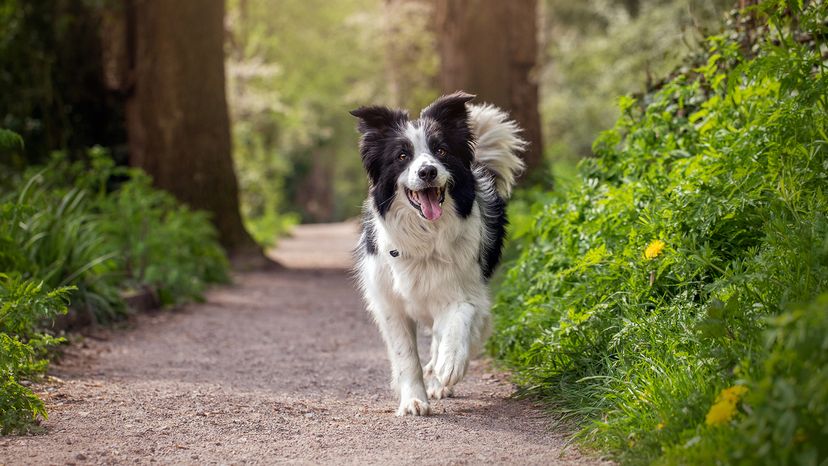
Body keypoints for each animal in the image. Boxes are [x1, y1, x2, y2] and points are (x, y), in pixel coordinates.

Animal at [350, 91, 524, 416]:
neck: (425, 237)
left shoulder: (466, 291)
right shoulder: (390, 304)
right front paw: (413, 400)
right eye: (402, 156)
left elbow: (458, 322)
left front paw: (449, 364)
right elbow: (406, 357)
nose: (427, 171)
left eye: (441, 150)